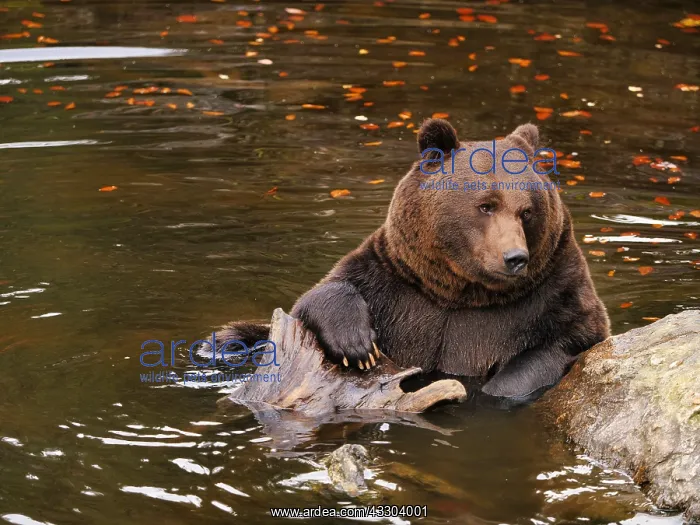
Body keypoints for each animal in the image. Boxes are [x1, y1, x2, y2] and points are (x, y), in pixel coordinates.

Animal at [218, 119, 610, 399]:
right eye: (486, 205)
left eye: (527, 211)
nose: (515, 258)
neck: (461, 293)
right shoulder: (396, 284)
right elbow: (318, 295)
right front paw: (358, 347)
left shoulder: (551, 295)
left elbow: (566, 341)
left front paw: (498, 385)